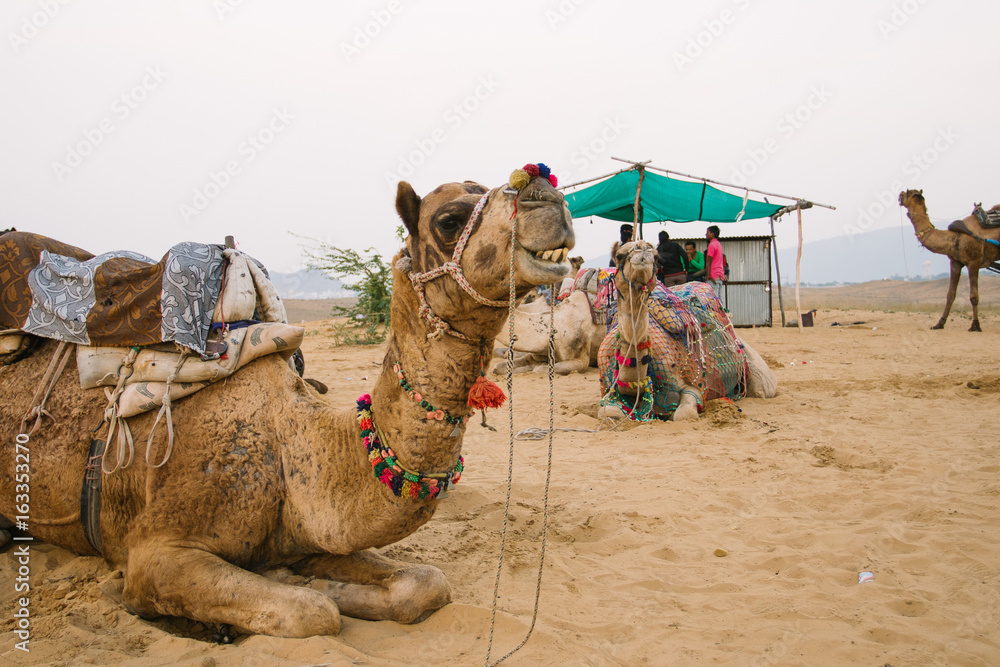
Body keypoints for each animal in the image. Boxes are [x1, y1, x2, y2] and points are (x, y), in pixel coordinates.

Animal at [0, 171, 574, 637]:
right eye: (450, 220)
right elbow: (310, 612)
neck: (291, 442)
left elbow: (427, 582)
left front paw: (311, 580)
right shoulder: (156, 550)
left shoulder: (311, 532)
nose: (546, 194)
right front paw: (293, 590)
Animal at [597, 241, 776, 422]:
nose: (642, 248)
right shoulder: (608, 391)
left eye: (656, 257)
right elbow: (609, 412)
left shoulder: (694, 384)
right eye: (619, 255)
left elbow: (684, 414)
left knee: (763, 388)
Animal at [898, 189, 1000, 331]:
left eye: (908, 192)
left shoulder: (973, 262)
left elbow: (974, 297)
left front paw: (975, 325)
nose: (899, 196)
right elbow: (950, 294)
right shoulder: (955, 262)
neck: (955, 236)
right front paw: (939, 323)